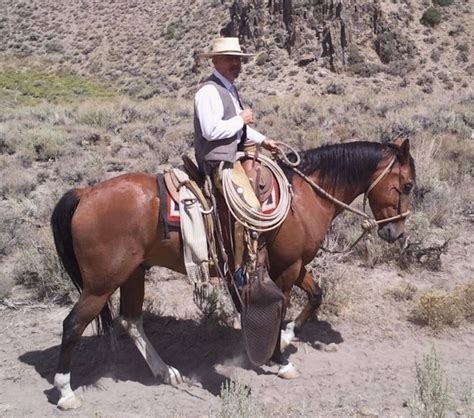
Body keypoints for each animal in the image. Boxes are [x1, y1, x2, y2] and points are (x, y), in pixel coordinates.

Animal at [51, 136, 414, 408]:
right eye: (408, 185)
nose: (397, 234)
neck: (303, 198)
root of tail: (86, 193)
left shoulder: (296, 264)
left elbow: (316, 295)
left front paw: (288, 335)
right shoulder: (287, 268)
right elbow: (282, 306)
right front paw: (280, 360)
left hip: (133, 274)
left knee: (131, 320)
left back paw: (166, 371)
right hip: (101, 284)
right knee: (73, 325)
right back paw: (66, 392)